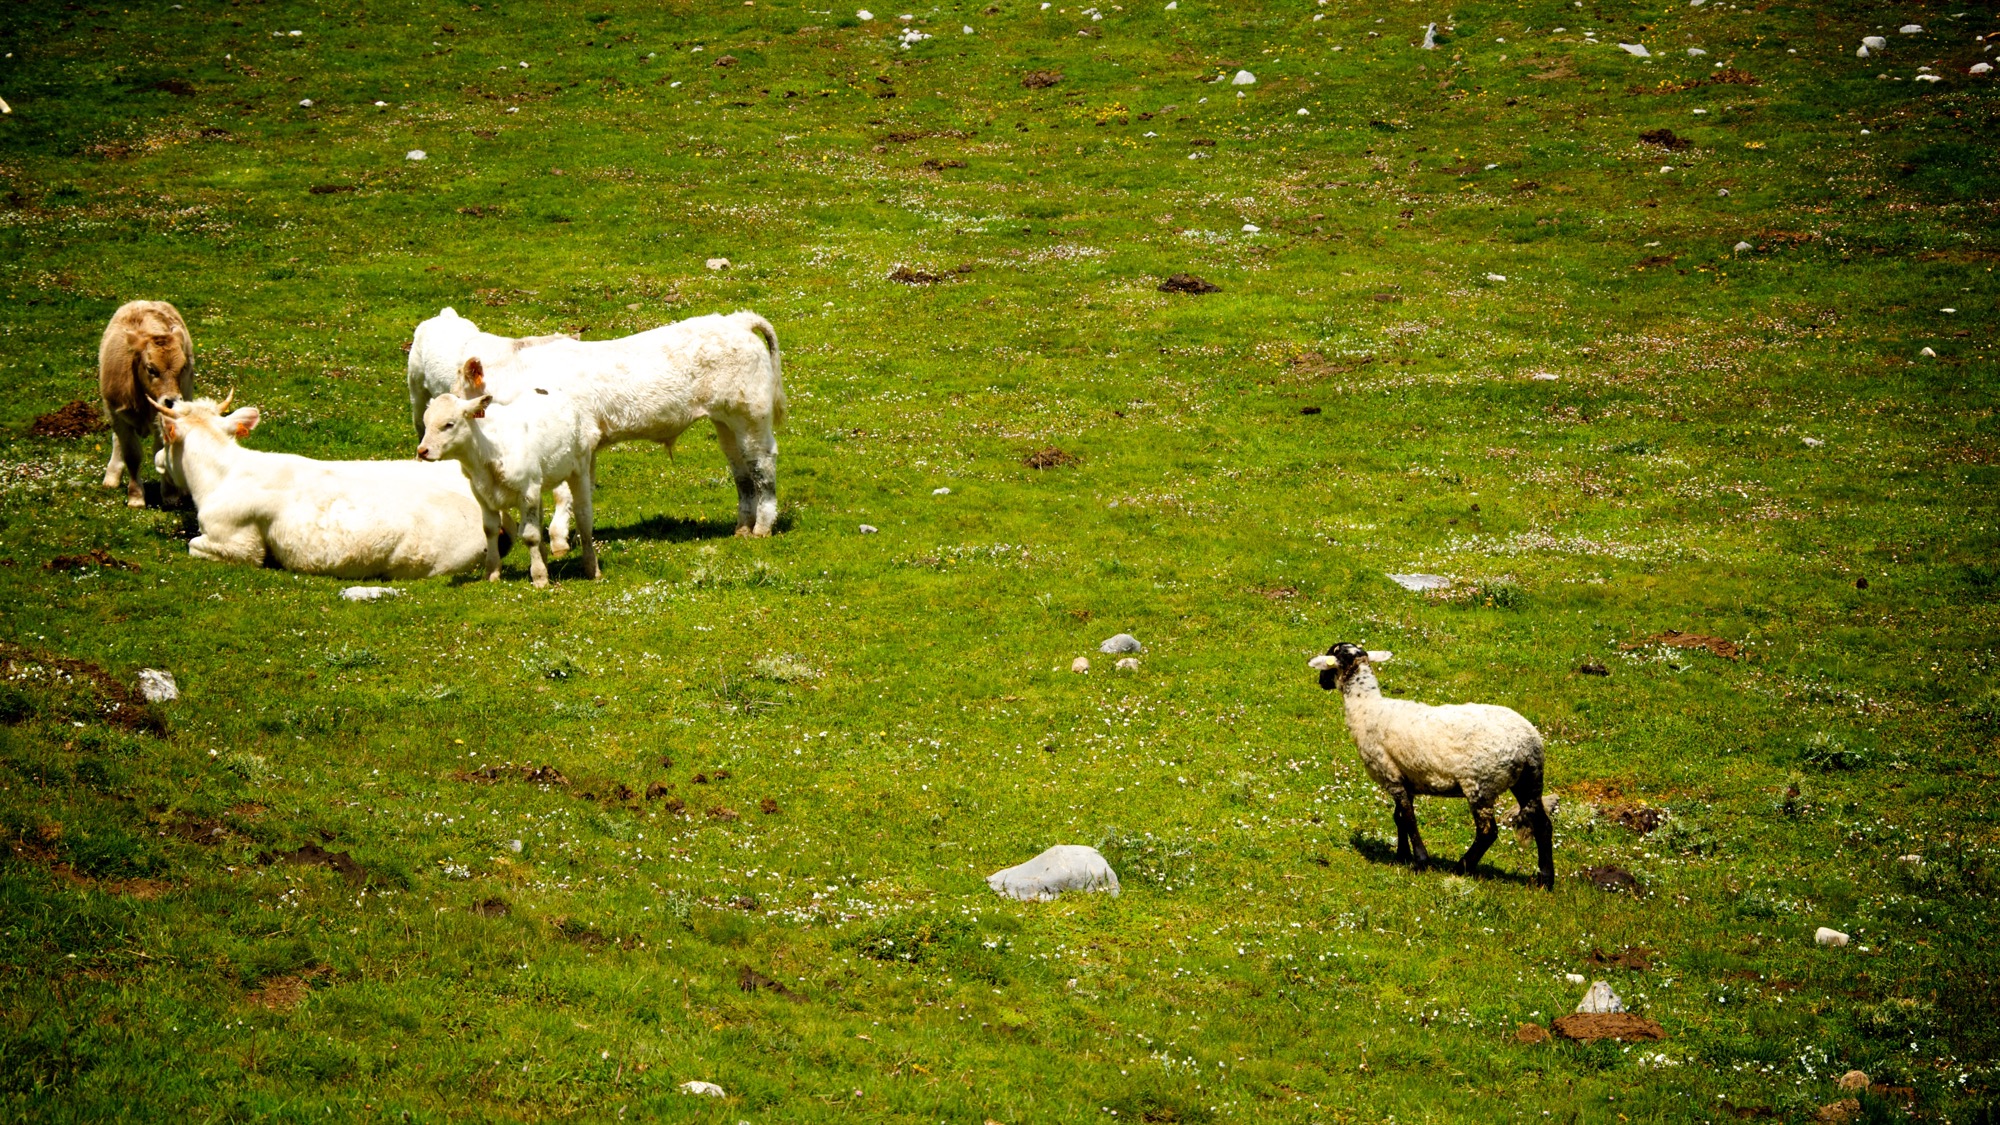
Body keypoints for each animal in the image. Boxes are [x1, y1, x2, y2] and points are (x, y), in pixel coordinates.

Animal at [417, 378, 600, 588]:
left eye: (449, 424)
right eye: (426, 423)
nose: (422, 450)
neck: (488, 451)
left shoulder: (527, 491)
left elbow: (530, 535)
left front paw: (539, 577)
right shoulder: (481, 492)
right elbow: (490, 529)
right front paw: (492, 572)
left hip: (580, 467)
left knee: (583, 514)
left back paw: (591, 567)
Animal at [1308, 643, 1554, 888]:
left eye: (1329, 659)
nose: (1320, 682)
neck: (1367, 708)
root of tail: (1530, 743)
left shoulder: (1391, 775)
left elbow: (1409, 819)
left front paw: (1420, 861)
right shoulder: (1405, 777)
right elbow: (1399, 818)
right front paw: (1402, 855)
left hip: (1481, 784)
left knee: (1488, 832)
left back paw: (1461, 867)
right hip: (1528, 780)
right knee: (1542, 824)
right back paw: (1545, 880)